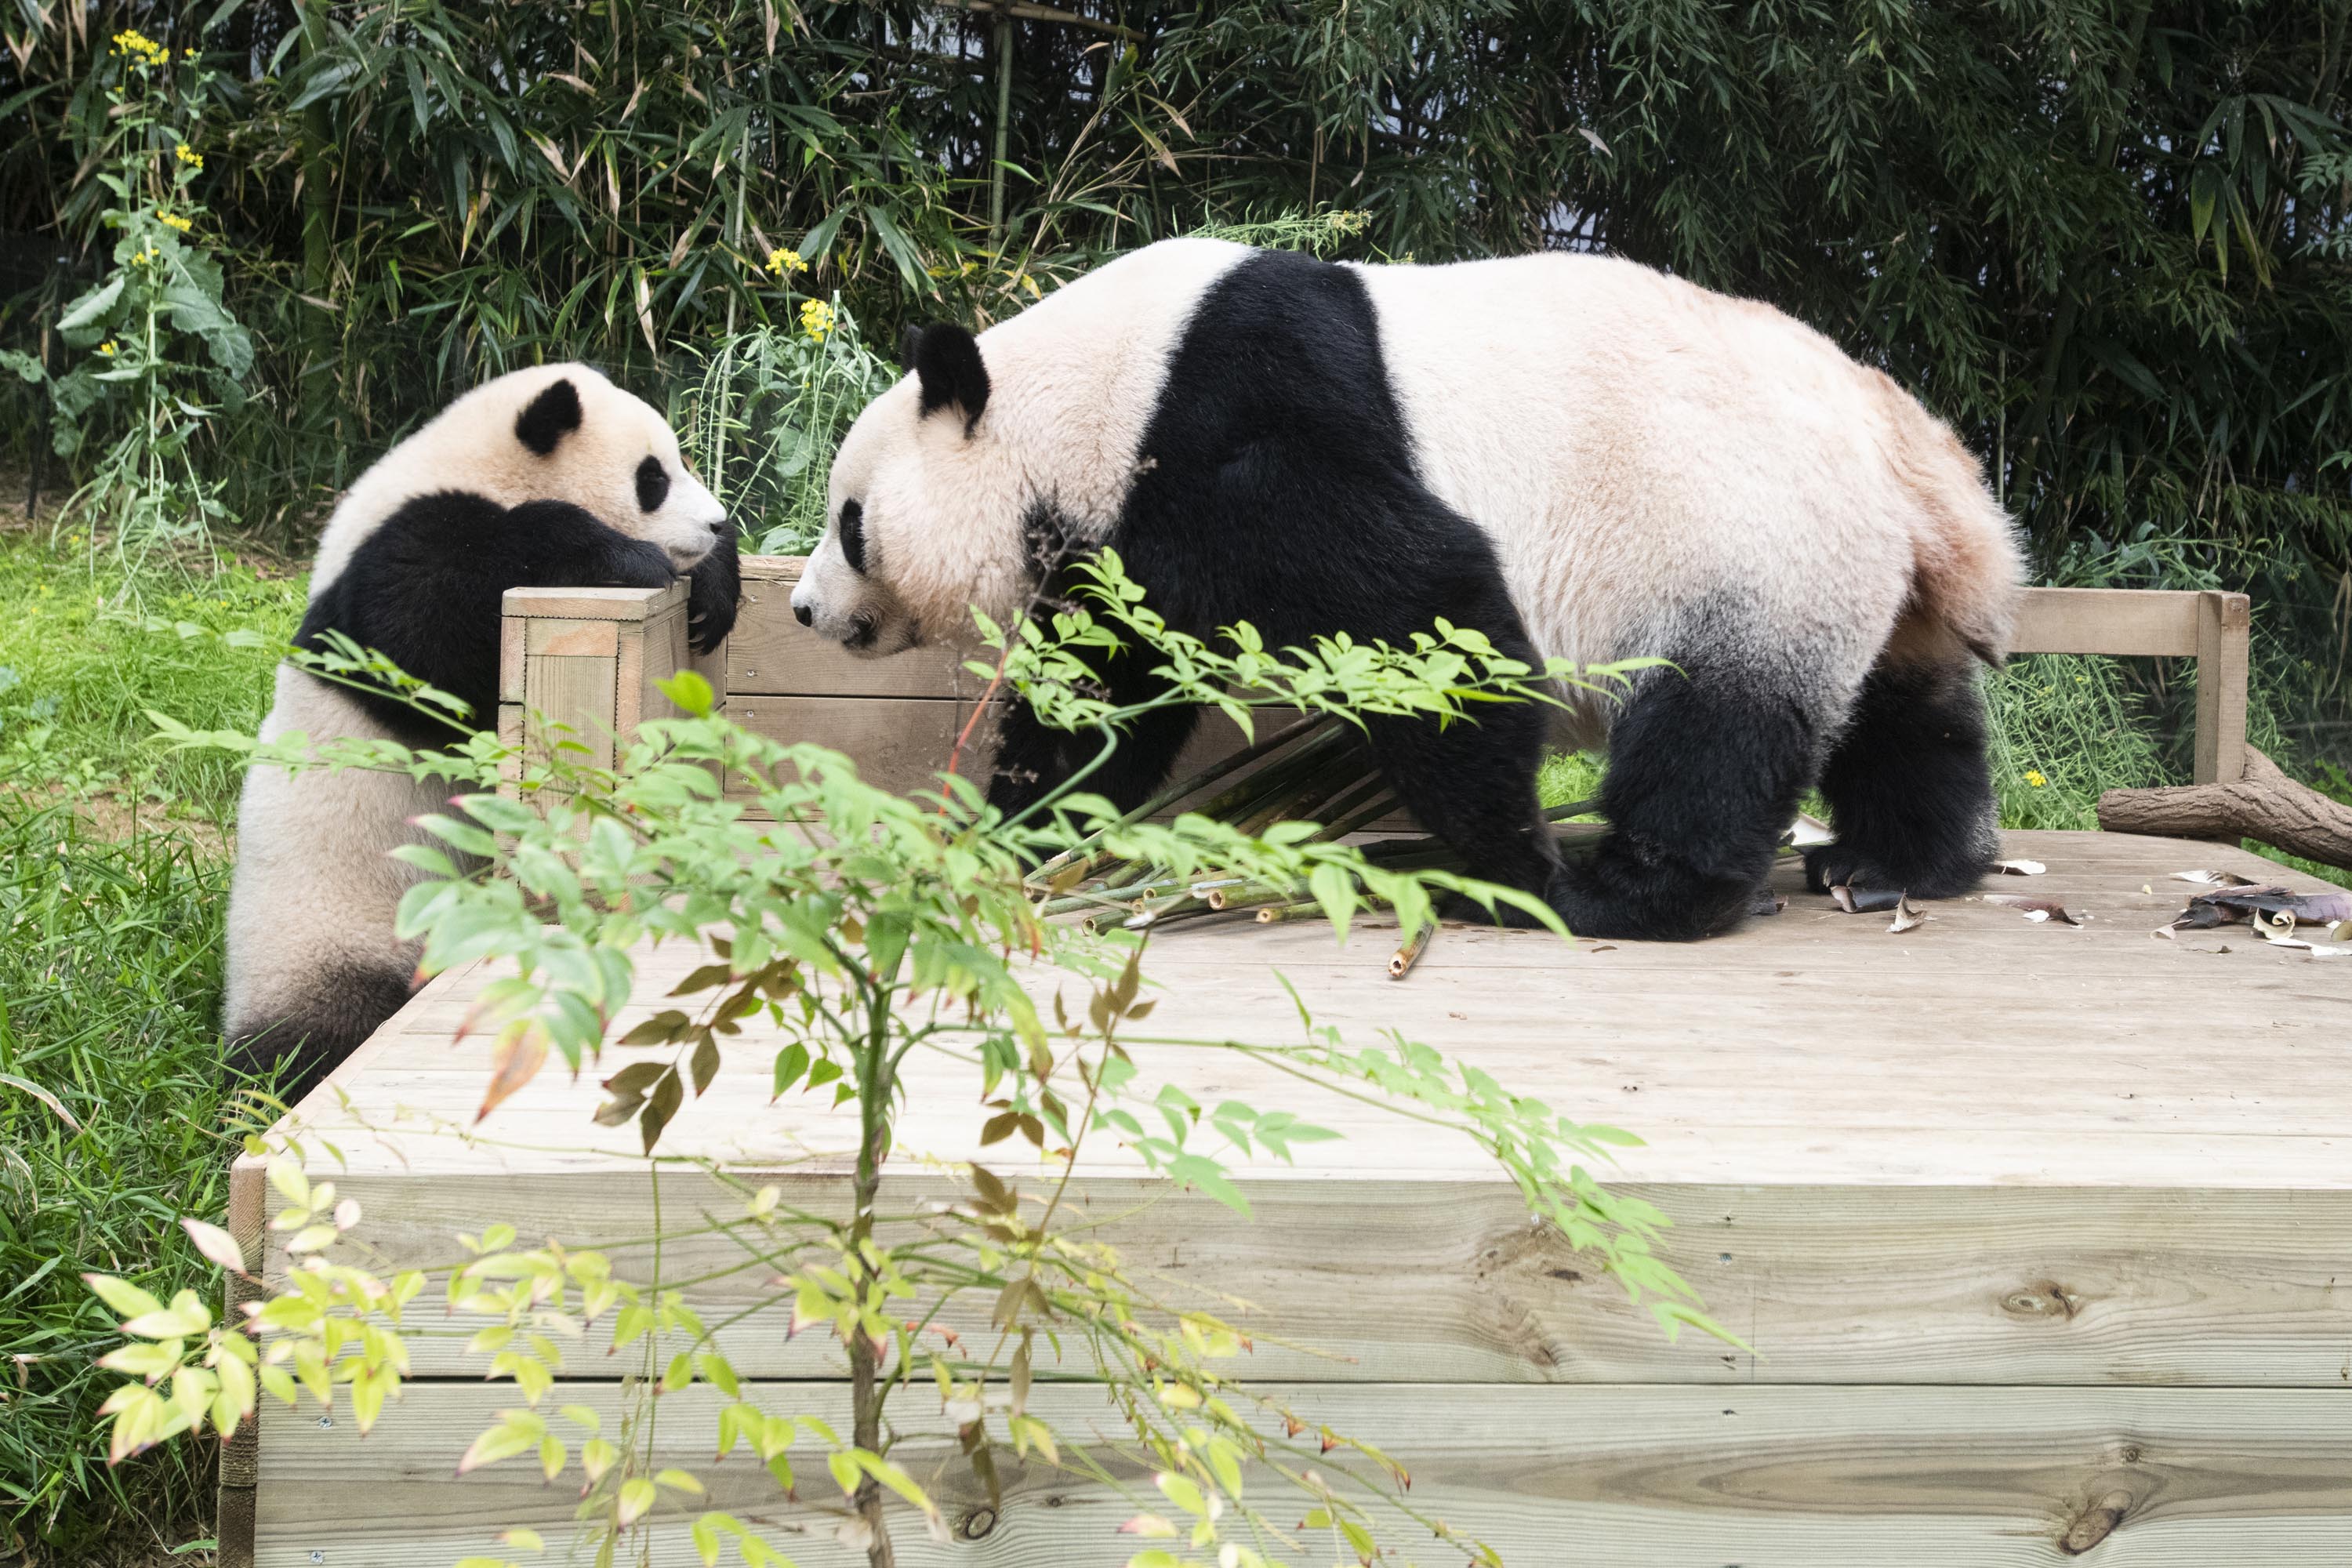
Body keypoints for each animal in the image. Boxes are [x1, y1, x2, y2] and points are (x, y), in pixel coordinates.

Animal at [225, 364, 740, 1104]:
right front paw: (626, 560)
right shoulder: (397, 552)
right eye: (653, 478)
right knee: (312, 1037)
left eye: (681, 462)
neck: (474, 464)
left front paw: (714, 592)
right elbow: (430, 626)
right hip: (327, 928)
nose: (717, 520)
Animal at [792, 239, 2024, 941]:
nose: (804, 611)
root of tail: (1908, 446)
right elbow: (1105, 695)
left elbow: (1428, 603)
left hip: (1743, 542)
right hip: (1857, 576)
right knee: (1903, 712)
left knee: (1715, 725)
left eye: (849, 521)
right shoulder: (1130, 534)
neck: (1096, 394)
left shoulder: (1242, 420)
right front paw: (1027, 833)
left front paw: (1510, 855)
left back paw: (1630, 893)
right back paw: (1893, 864)